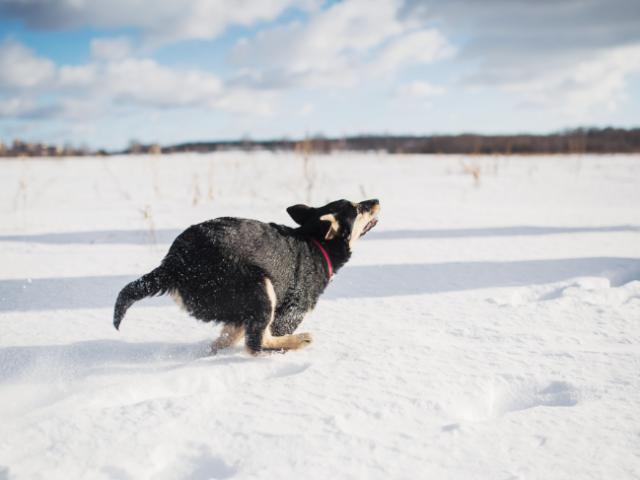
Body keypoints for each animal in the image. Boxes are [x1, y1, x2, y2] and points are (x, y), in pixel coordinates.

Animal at [112, 197, 380, 354]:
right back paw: (298, 341)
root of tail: (173, 264)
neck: (315, 242)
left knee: (231, 339)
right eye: (357, 209)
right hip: (260, 287)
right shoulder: (290, 312)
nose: (376, 199)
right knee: (256, 344)